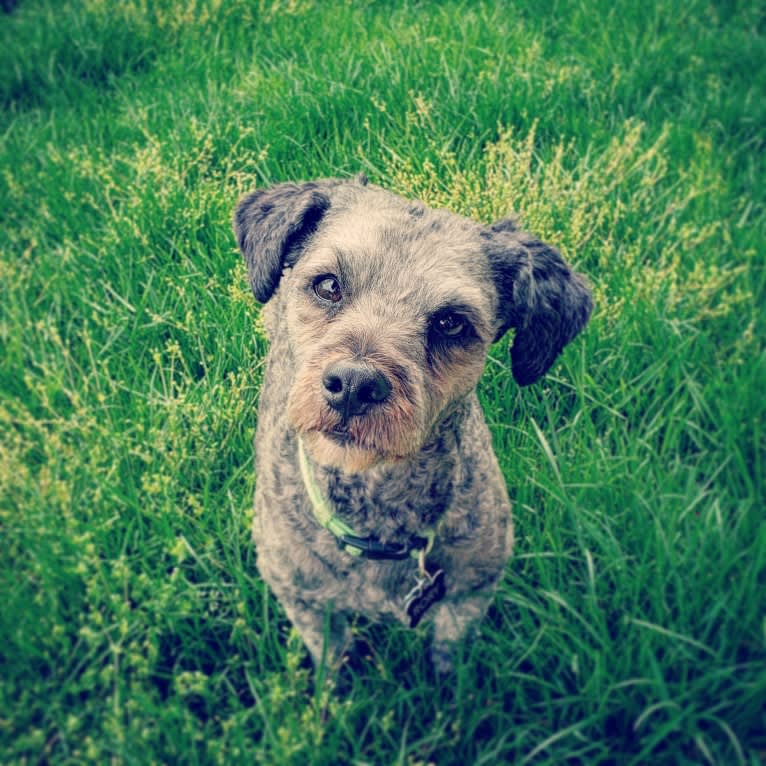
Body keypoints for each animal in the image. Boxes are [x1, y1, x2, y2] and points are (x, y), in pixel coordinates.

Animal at [234, 172, 592, 672]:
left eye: (451, 322)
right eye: (328, 286)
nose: (353, 385)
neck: (377, 518)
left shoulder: (471, 592)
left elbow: (447, 659)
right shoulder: (304, 601)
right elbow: (333, 662)